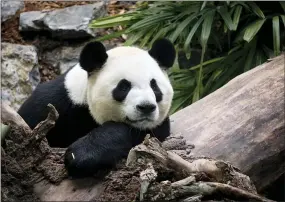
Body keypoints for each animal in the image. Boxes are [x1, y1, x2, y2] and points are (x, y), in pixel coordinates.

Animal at [17, 38, 174, 177]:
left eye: (154, 86)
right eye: (123, 87)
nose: (146, 107)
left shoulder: (156, 127)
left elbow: (137, 133)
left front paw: (81, 156)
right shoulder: (56, 101)